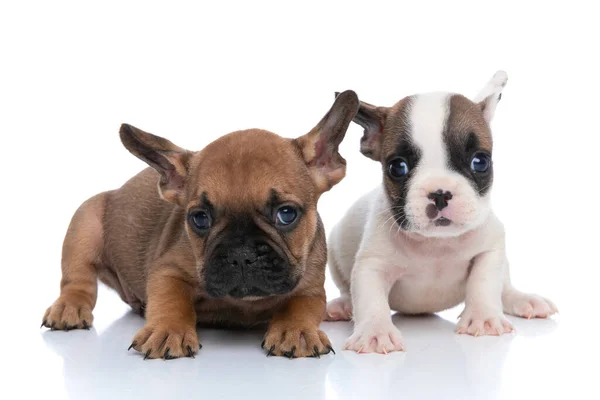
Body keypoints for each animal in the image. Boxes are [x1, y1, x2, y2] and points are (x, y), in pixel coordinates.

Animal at [43, 90, 360, 360]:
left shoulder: (310, 286)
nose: (241, 254)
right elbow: (171, 299)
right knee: (78, 279)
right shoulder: (167, 269)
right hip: (85, 222)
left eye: (286, 214)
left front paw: (296, 331)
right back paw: (69, 307)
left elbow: (301, 306)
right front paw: (167, 331)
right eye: (200, 218)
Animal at [326, 72, 556, 354]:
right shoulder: (372, 264)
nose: (440, 193)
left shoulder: (490, 249)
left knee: (505, 286)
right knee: (346, 289)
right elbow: (370, 298)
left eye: (480, 161)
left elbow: (484, 282)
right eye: (397, 167)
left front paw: (484, 317)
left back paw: (524, 300)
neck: (436, 244)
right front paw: (375, 332)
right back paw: (342, 305)